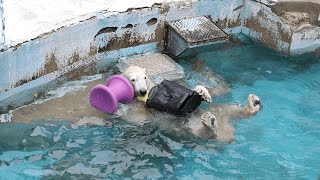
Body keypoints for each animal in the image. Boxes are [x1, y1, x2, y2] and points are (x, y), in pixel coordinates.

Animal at [119, 65, 262, 143]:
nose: (143, 91)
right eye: (133, 79)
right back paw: (209, 123)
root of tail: (227, 132)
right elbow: (137, 115)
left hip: (218, 110)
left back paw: (253, 104)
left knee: (228, 109)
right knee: (203, 133)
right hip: (189, 130)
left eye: (144, 77)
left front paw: (203, 93)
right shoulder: (137, 110)